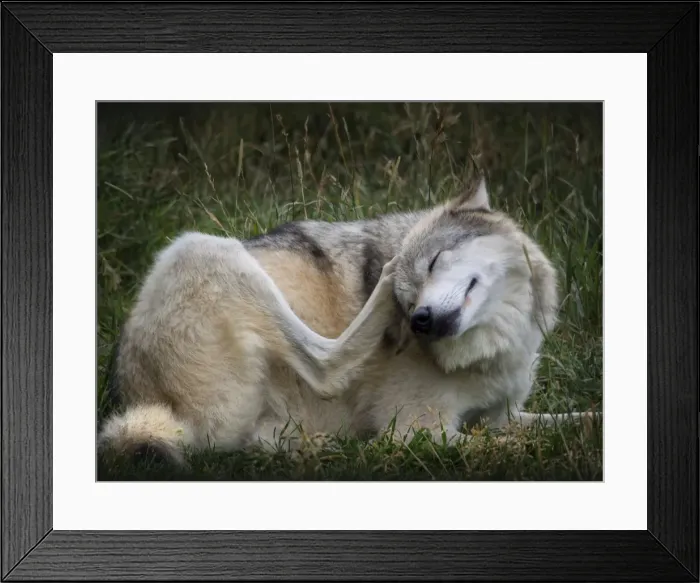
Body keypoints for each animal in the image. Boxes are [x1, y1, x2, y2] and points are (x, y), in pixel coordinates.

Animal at [98, 177, 595, 466]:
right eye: (407, 300)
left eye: (435, 262)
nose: (419, 319)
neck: (494, 349)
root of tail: (133, 397)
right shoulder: (417, 432)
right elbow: (502, 445)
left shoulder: (502, 415)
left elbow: (577, 419)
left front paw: (590, 425)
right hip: (200, 247)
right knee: (325, 366)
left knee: (262, 440)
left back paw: (321, 448)